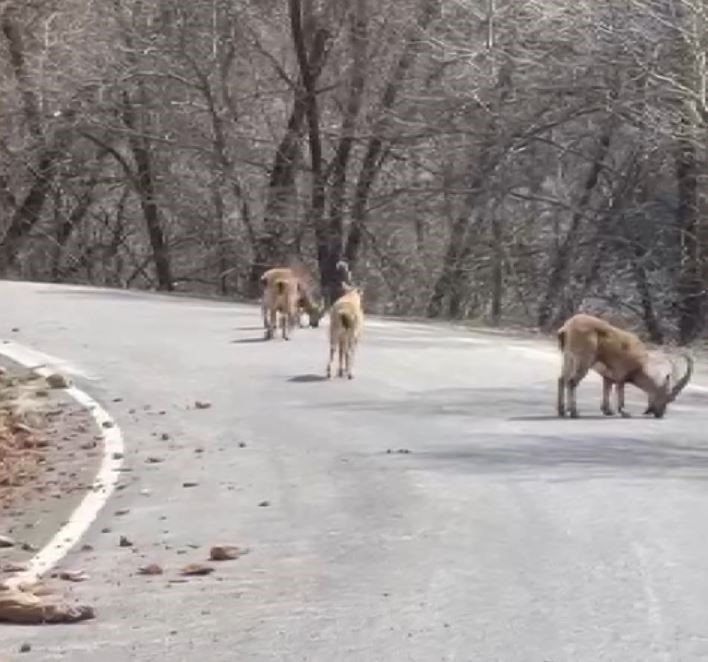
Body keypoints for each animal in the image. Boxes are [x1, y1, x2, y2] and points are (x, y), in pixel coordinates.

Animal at [552, 312, 692, 418]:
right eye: (668, 397)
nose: (660, 414)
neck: (640, 366)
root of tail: (565, 329)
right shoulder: (622, 373)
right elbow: (620, 389)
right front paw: (624, 412)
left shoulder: (608, 376)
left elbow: (607, 388)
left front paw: (607, 410)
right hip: (583, 360)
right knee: (572, 382)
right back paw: (574, 412)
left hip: (568, 358)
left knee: (561, 379)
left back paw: (562, 411)